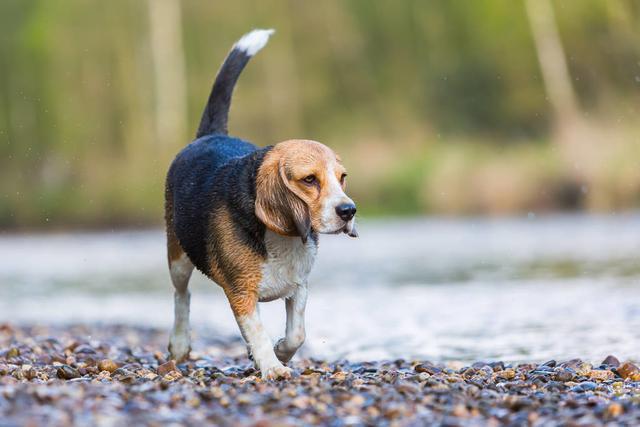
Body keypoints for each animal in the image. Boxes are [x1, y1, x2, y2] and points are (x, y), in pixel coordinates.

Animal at [164, 28, 356, 380]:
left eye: (342, 177)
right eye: (310, 180)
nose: (349, 211)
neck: (282, 236)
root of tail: (210, 135)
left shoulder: (299, 286)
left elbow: (297, 334)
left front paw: (280, 352)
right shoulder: (242, 293)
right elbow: (257, 332)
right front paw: (271, 366)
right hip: (178, 259)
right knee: (181, 296)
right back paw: (181, 344)